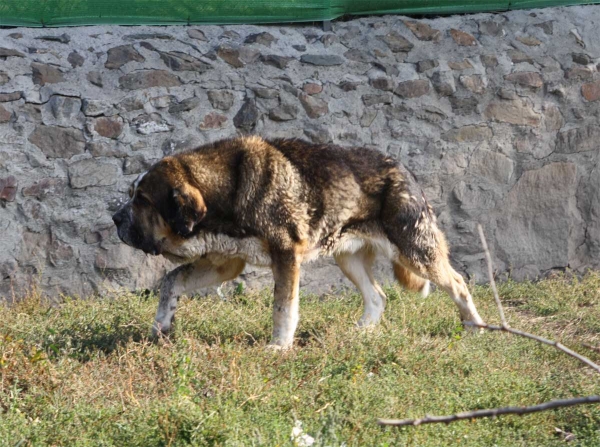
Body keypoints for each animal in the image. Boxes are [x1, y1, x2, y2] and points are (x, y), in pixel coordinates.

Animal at [112, 136, 486, 350]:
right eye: (132, 195)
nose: (115, 218)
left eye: (142, 200)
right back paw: (359, 333)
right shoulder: (224, 262)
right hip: (347, 258)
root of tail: (404, 169)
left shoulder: (286, 256)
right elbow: (170, 281)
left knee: (458, 283)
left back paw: (475, 328)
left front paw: (279, 347)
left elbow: (283, 308)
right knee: (378, 297)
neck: (226, 190)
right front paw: (161, 325)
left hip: (416, 251)